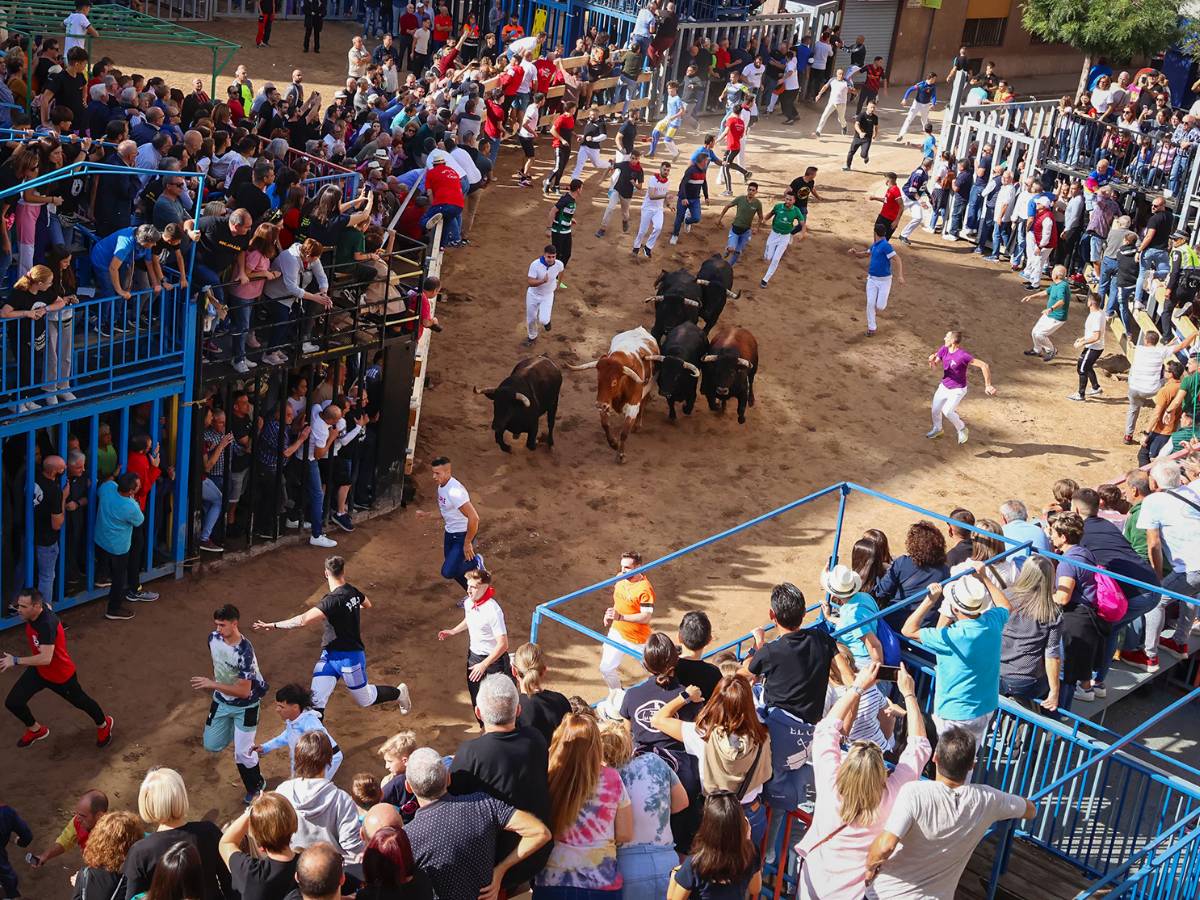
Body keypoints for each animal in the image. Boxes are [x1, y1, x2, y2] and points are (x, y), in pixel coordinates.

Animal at [564, 326, 657, 465]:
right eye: (598, 379)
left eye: (614, 382)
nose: (598, 404)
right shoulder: (605, 403)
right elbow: (605, 424)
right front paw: (613, 443)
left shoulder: (633, 406)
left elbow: (624, 432)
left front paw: (621, 455)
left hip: (647, 390)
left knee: (644, 403)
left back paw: (638, 425)